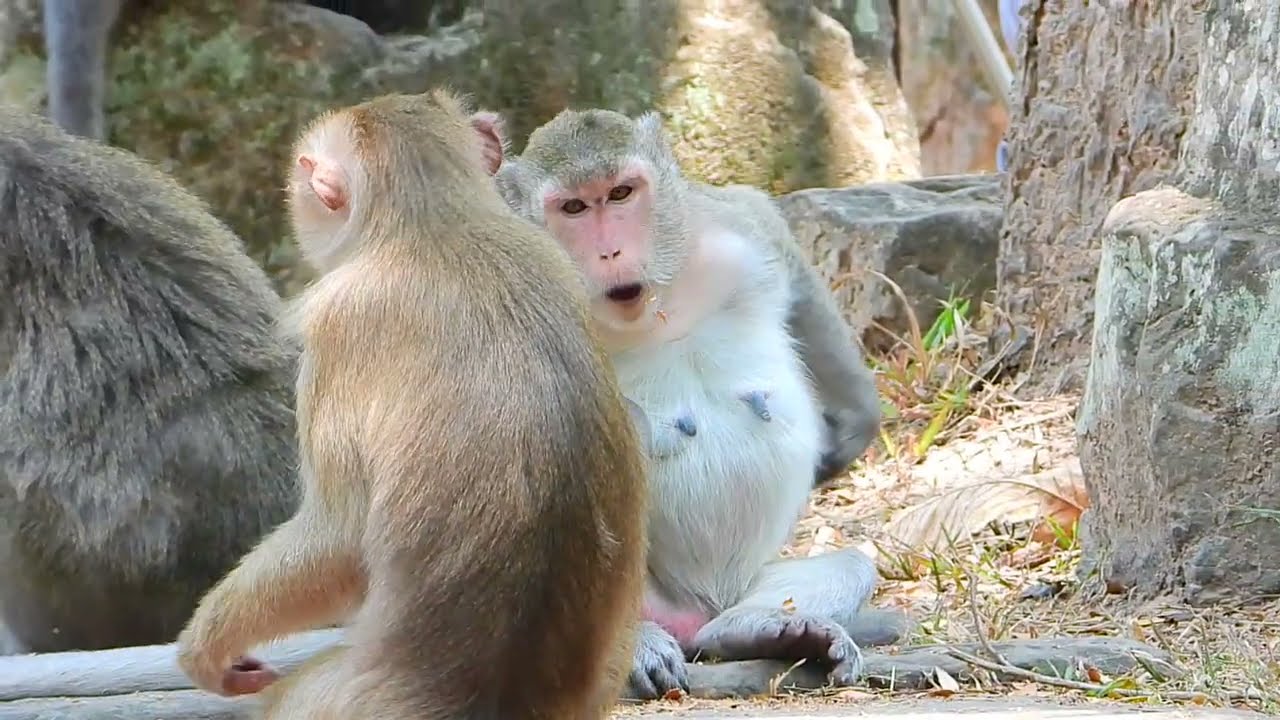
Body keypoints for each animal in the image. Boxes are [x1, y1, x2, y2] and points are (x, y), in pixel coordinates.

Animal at [493, 109, 906, 700]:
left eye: (620, 193)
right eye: (573, 208)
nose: (610, 252)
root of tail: (695, 611)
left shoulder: (724, 226)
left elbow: (778, 241)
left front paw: (856, 419)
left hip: (746, 586)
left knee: (846, 566)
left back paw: (760, 629)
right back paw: (639, 643)